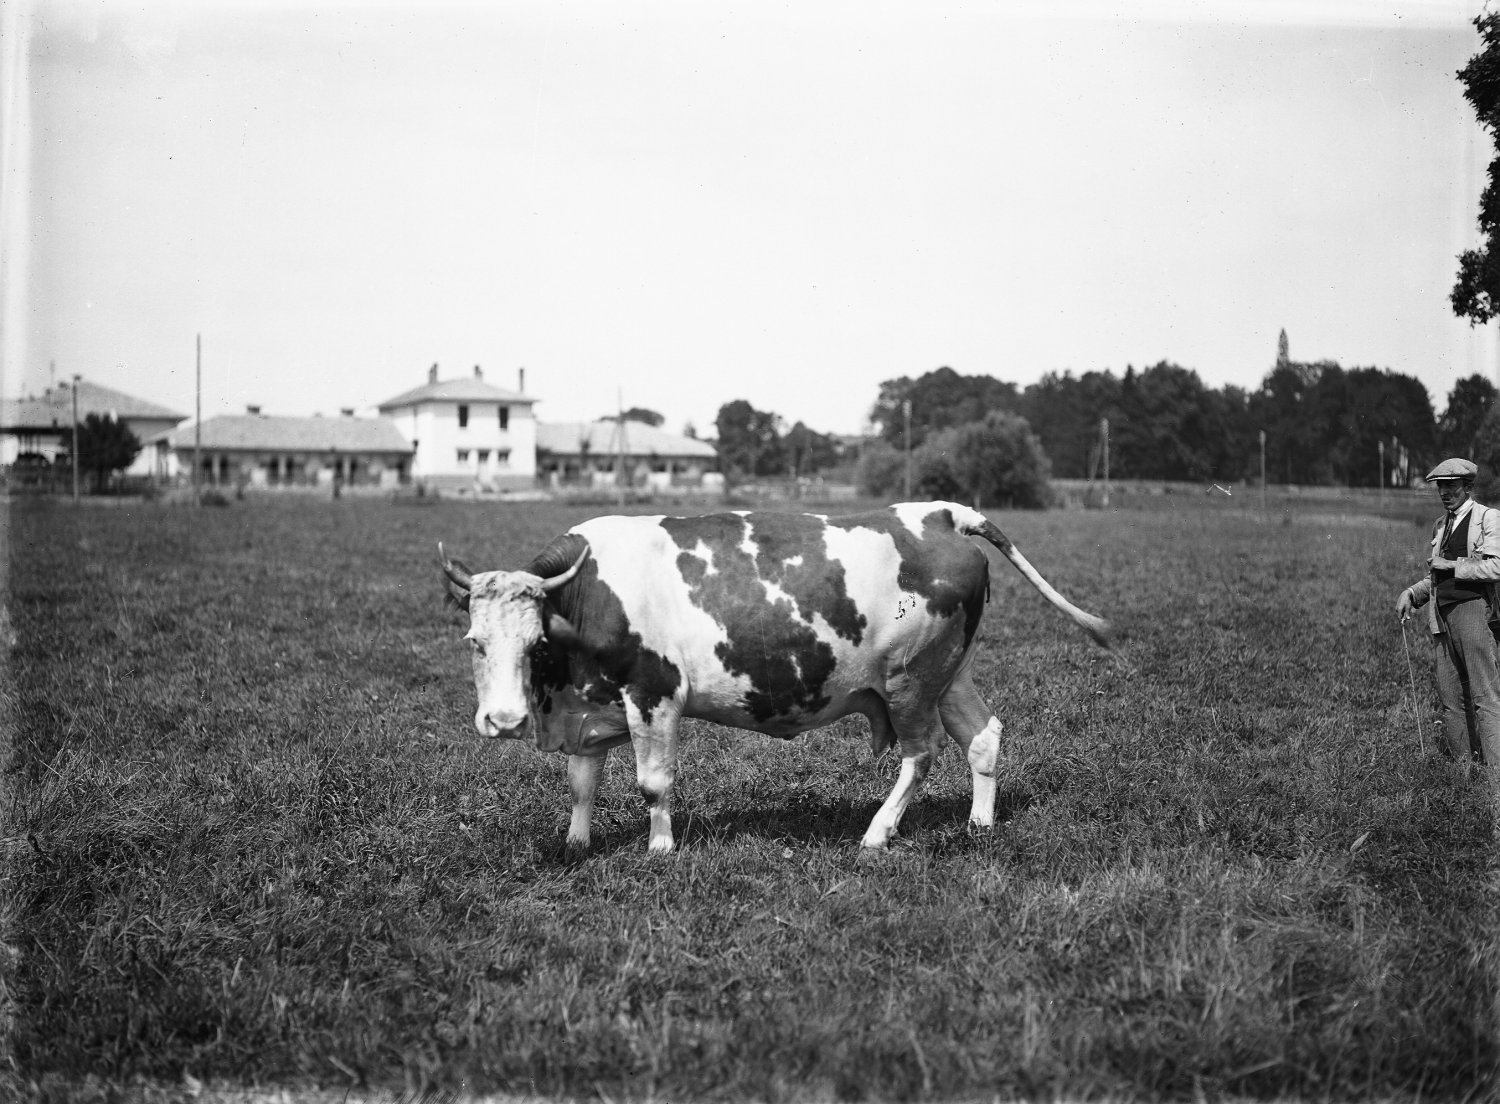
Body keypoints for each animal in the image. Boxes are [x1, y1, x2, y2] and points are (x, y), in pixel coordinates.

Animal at [438, 501, 1110, 852]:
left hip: (910, 680)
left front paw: (660, 848)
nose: (504, 719)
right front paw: (577, 844)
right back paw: (979, 824)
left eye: (535, 642)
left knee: (921, 754)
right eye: (474, 642)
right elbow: (581, 783)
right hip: (950, 672)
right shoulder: (591, 705)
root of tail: (940, 514)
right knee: (983, 737)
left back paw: (877, 832)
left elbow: (653, 783)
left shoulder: (655, 695)